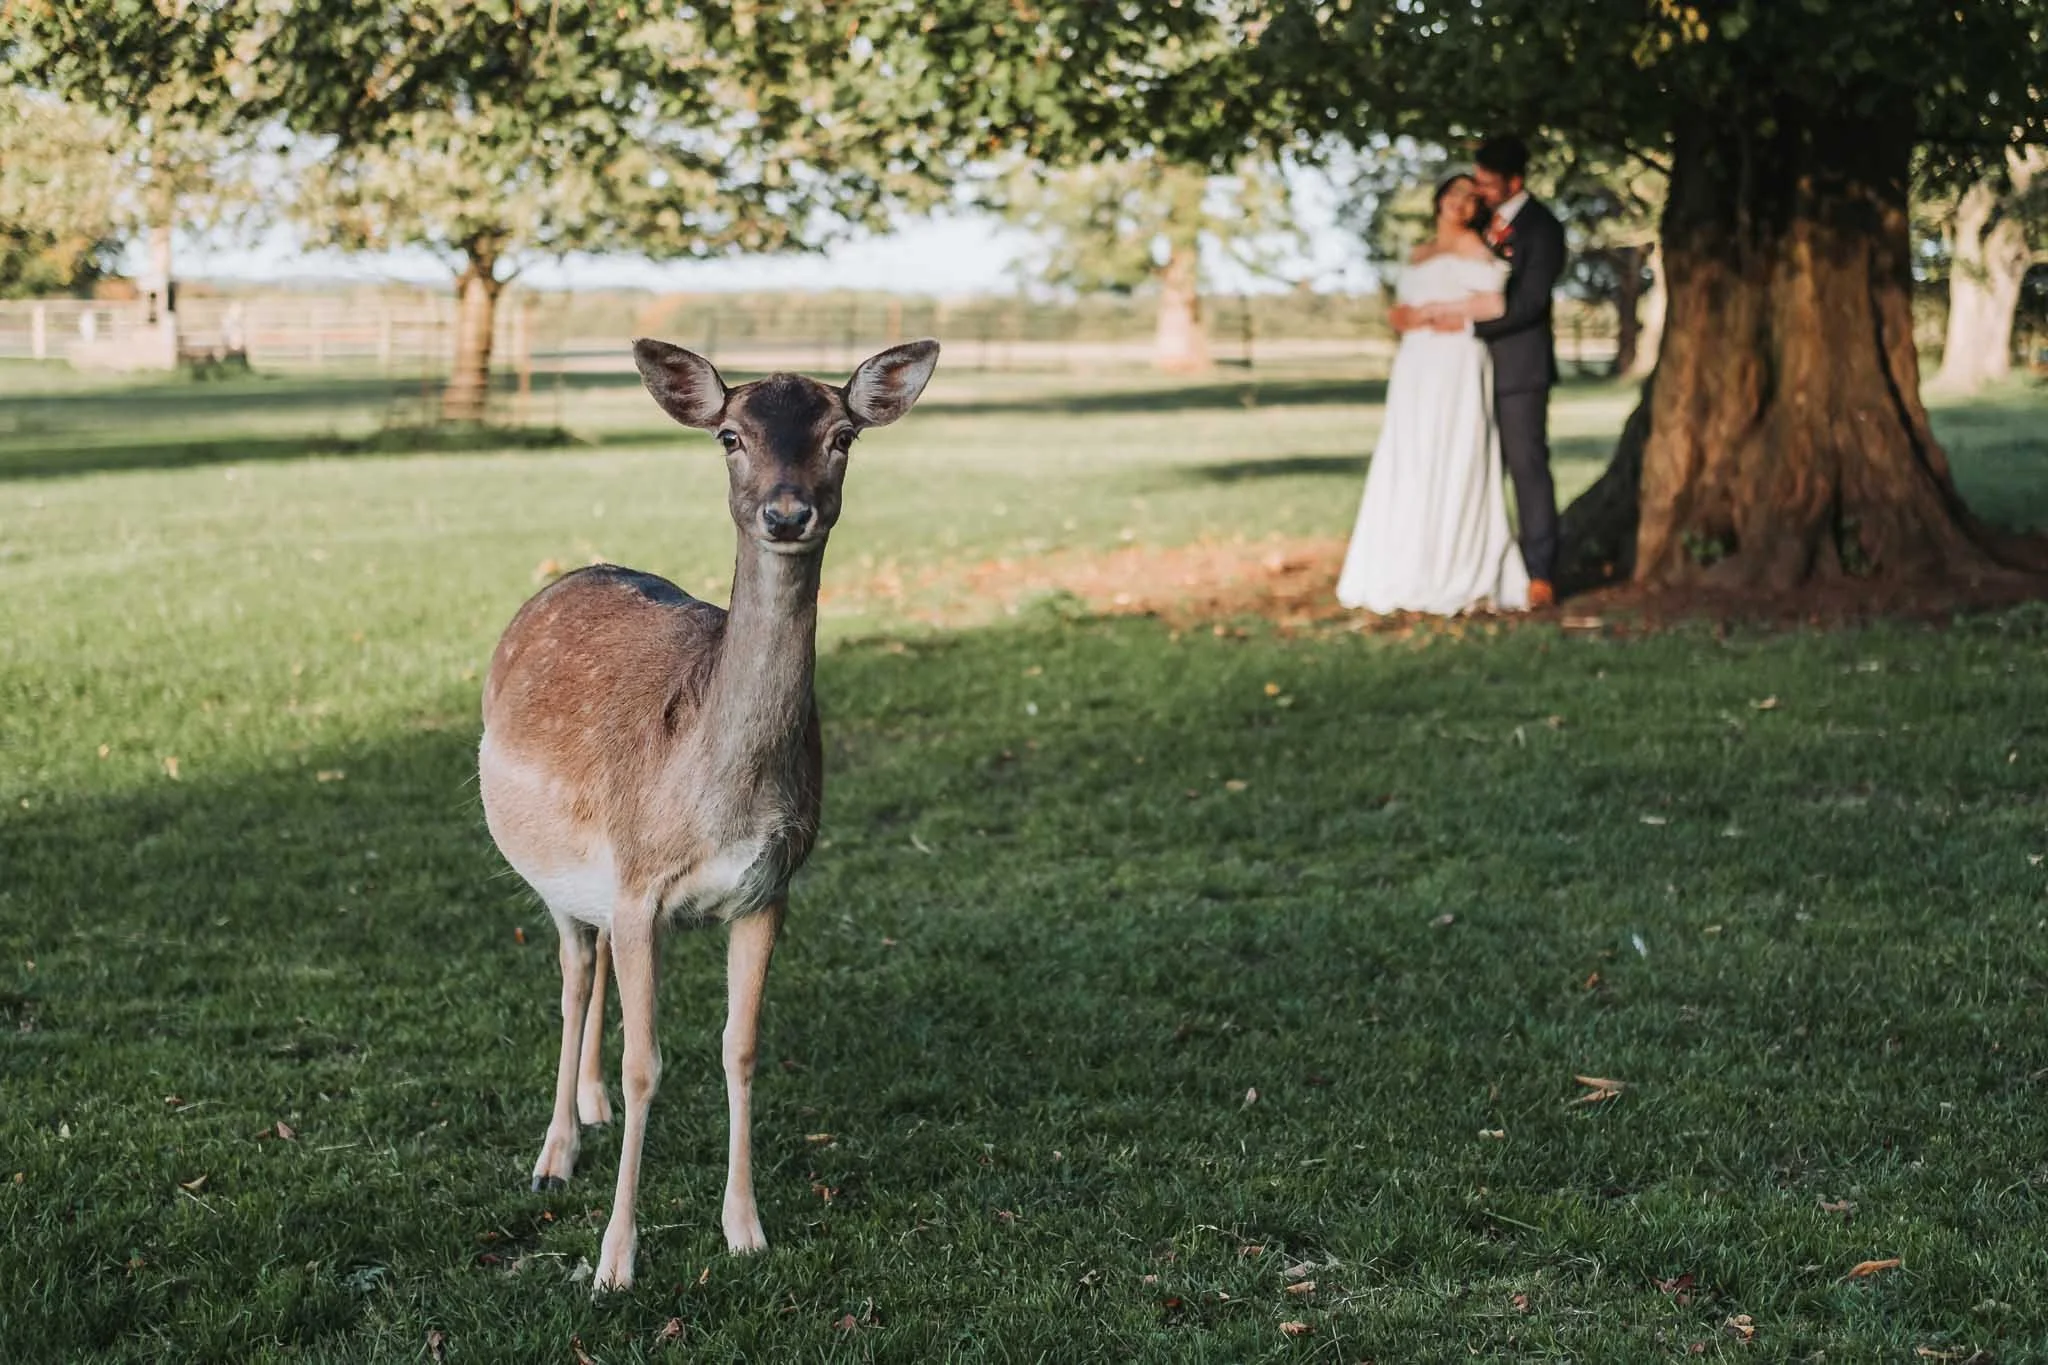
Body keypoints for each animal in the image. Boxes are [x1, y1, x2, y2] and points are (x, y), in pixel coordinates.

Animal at [477, 337, 940, 1292]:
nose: (788, 511)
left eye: (842, 435)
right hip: (549, 868)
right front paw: (614, 1262)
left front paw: (746, 1229)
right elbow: (646, 1063)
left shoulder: (768, 889)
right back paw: (555, 1152)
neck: (717, 800)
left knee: (598, 969)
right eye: (731, 435)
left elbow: (741, 1045)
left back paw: (588, 1109)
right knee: (575, 975)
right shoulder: (639, 883)